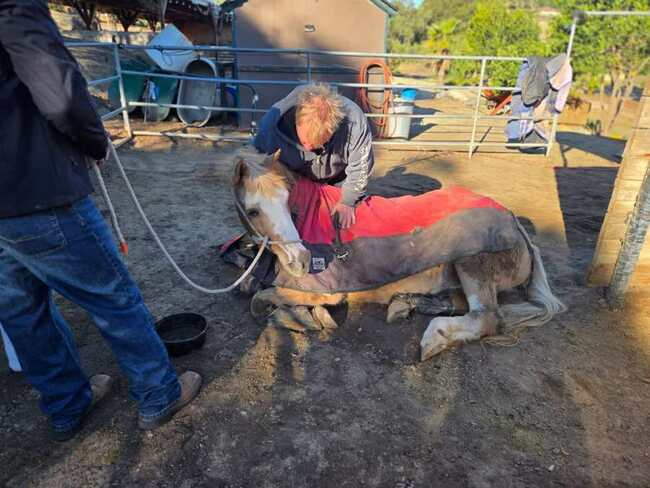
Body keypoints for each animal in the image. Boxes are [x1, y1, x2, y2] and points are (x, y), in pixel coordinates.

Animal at [231, 148, 565, 361]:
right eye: (253, 210)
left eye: (287, 200)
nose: (300, 261)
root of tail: (515, 223)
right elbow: (253, 287)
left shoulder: (325, 292)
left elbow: (261, 299)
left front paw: (307, 318)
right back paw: (406, 304)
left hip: (471, 262)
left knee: (487, 318)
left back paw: (434, 337)